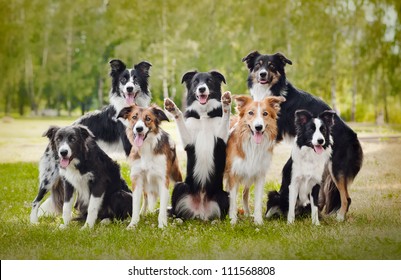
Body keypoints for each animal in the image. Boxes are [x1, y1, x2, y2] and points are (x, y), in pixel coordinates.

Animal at [29, 59, 152, 223]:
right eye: (123, 80)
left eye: (136, 79)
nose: (129, 88)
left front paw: (144, 213)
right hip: (49, 176)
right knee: (36, 200)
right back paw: (33, 222)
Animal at [163, 71, 231, 222]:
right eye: (195, 81)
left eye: (209, 80)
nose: (201, 89)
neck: (204, 115)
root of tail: (200, 212)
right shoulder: (188, 142)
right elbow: (180, 118)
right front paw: (173, 108)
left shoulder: (221, 139)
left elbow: (225, 117)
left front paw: (226, 103)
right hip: (180, 186)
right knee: (177, 212)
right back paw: (178, 220)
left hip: (224, 195)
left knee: (219, 215)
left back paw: (215, 221)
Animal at [225, 95, 284, 224]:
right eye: (250, 113)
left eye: (265, 113)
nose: (258, 127)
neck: (252, 145)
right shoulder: (233, 174)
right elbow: (232, 199)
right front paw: (232, 221)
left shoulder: (259, 174)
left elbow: (257, 201)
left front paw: (258, 221)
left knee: (244, 193)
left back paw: (247, 213)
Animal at [241, 50, 362, 221]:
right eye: (258, 65)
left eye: (272, 66)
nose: (262, 74)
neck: (271, 90)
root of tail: (353, 135)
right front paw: (247, 211)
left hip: (337, 168)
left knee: (346, 197)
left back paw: (339, 218)